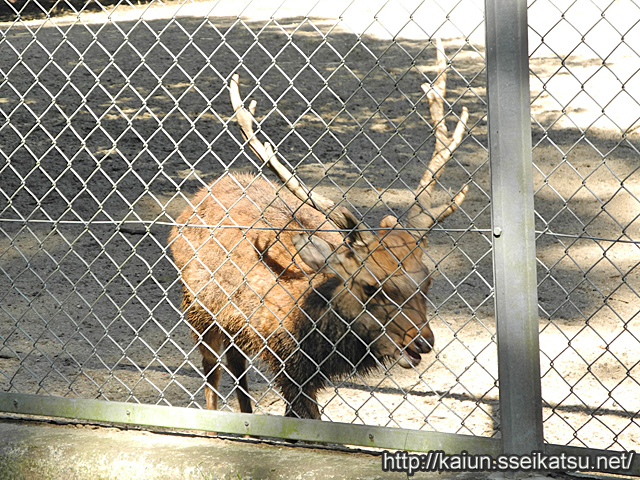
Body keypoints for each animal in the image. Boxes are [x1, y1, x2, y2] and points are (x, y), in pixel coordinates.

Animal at [169, 39, 470, 418]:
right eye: (370, 286)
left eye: (427, 280)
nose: (421, 342)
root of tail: (197, 197)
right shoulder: (287, 361)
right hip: (196, 310)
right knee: (212, 378)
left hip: (229, 322)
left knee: (237, 367)